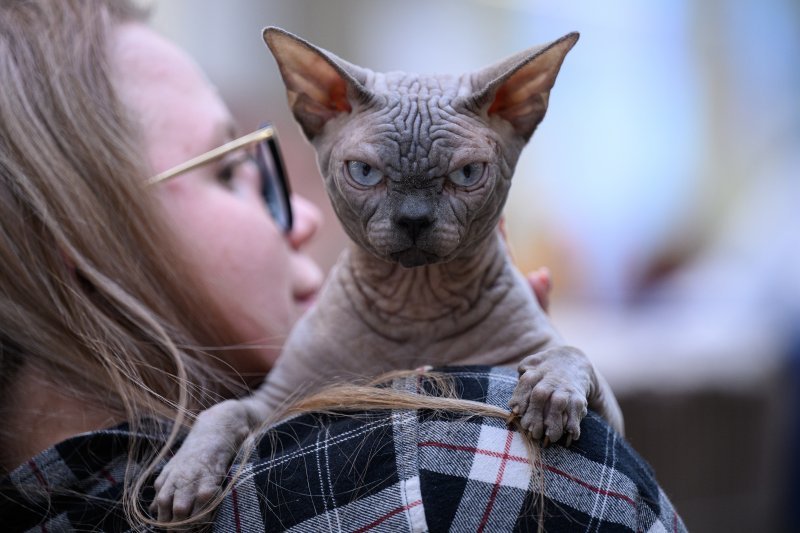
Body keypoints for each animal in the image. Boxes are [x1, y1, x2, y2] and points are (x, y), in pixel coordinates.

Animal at [152, 28, 624, 520]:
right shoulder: (277, 400)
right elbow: (223, 409)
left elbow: (572, 352)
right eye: (364, 172)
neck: (416, 303)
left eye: (467, 174)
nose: (414, 219)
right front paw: (187, 476)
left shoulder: (609, 415)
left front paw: (549, 394)